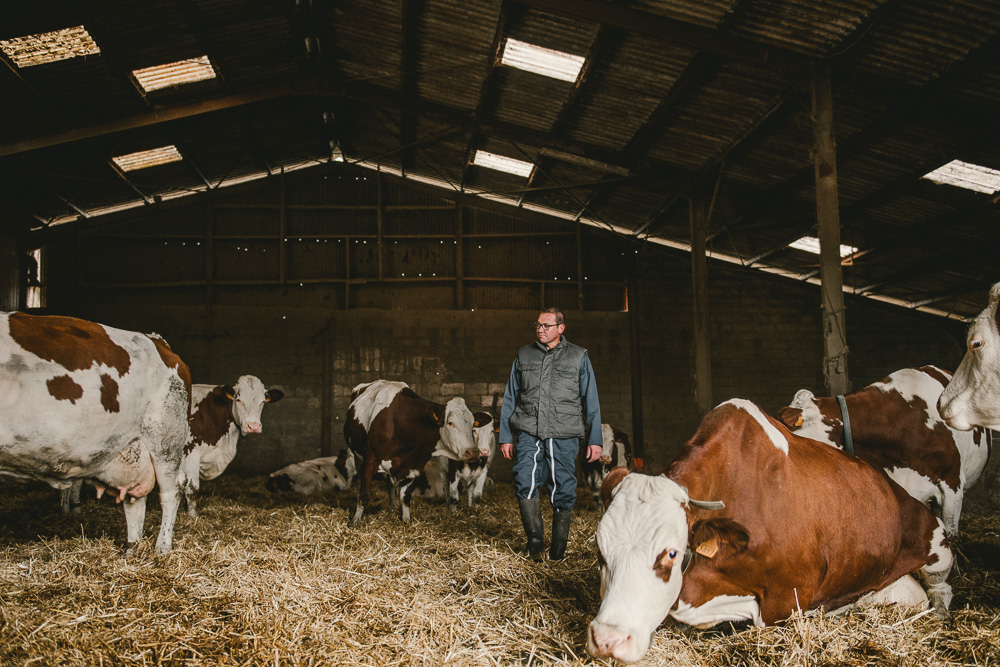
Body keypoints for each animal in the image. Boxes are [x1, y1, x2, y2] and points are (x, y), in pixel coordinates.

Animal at [0, 314, 191, 552]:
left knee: (171, 490)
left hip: (165, 441)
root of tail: (158, 342)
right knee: (134, 499)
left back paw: (162, 548)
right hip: (134, 448)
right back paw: (132, 549)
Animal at [344, 384, 484, 524]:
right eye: (450, 423)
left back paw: (391, 506)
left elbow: (405, 497)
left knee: (390, 485)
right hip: (357, 456)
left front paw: (406, 520)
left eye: (473, 424)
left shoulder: (411, 466)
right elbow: (364, 494)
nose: (473, 452)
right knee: (359, 482)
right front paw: (355, 521)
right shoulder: (370, 460)